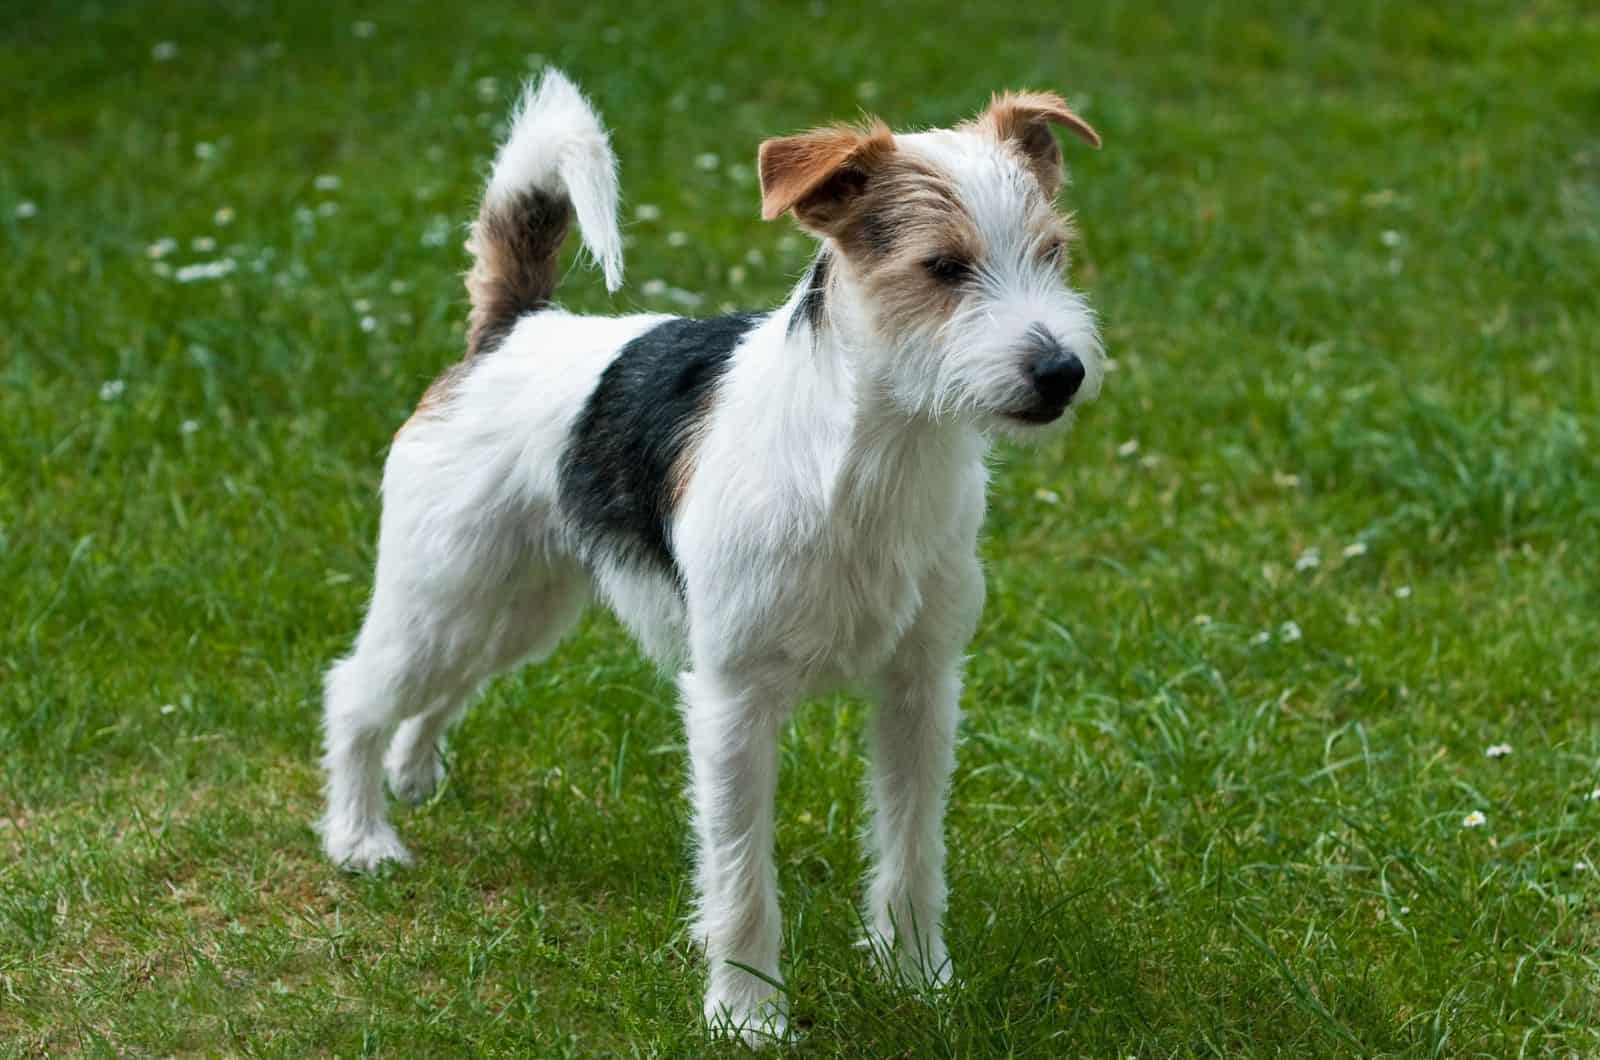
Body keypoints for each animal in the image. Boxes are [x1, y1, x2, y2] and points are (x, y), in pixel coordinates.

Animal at [318, 68, 1107, 1043]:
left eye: (1053, 253)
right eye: (943, 267)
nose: (1062, 372)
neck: (871, 461)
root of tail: (511, 331)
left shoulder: (920, 689)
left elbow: (912, 852)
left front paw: (922, 982)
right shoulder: (733, 704)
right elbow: (740, 881)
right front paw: (747, 1016)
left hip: (515, 609)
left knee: (440, 691)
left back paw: (414, 773)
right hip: (443, 594)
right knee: (356, 692)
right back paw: (361, 837)